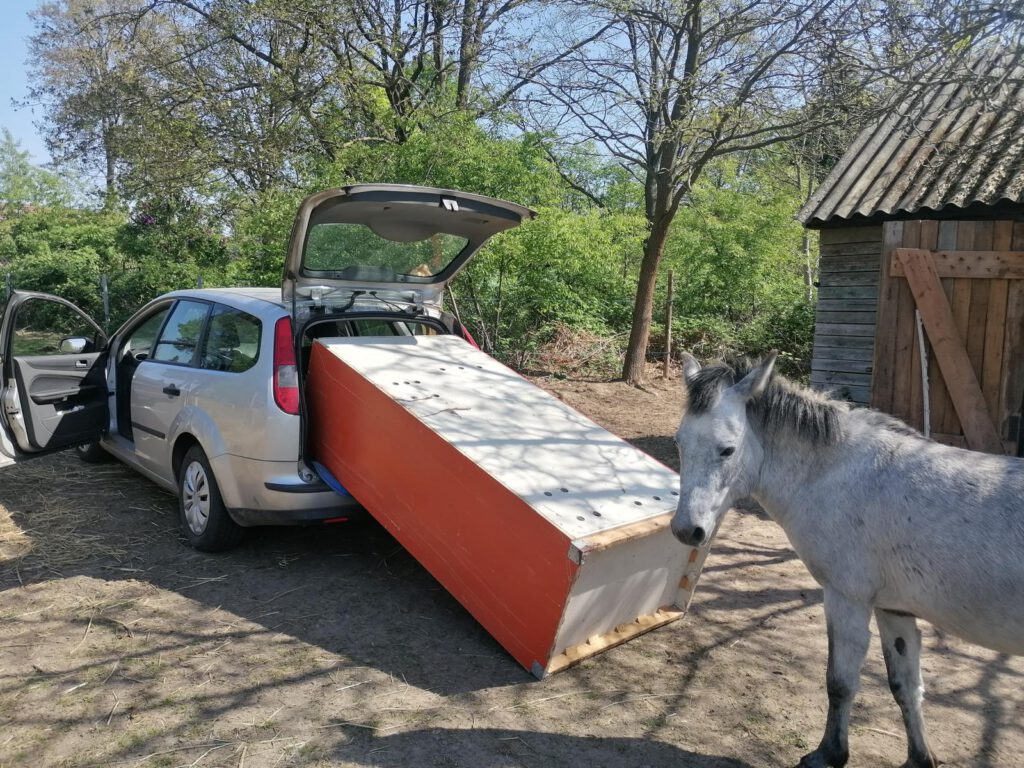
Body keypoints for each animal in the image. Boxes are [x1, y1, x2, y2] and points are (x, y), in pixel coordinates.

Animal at [671, 351, 1024, 768]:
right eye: (679, 443)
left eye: (727, 449)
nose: (686, 530)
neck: (834, 472)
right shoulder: (894, 610)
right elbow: (905, 686)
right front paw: (920, 758)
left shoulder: (846, 600)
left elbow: (840, 683)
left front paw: (829, 754)